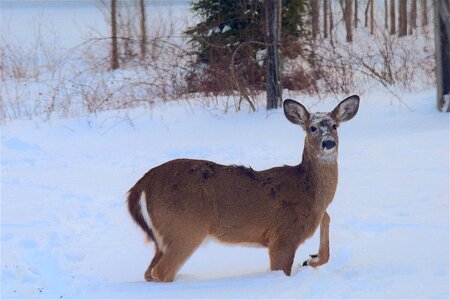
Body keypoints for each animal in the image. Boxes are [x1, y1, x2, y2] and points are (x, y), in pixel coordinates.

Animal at [126, 95, 358, 282]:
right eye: (312, 127)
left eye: (335, 126)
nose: (328, 143)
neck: (309, 193)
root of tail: (141, 185)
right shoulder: (283, 236)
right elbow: (281, 271)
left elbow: (327, 232)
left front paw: (310, 259)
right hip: (184, 228)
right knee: (161, 272)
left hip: (163, 237)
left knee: (149, 272)